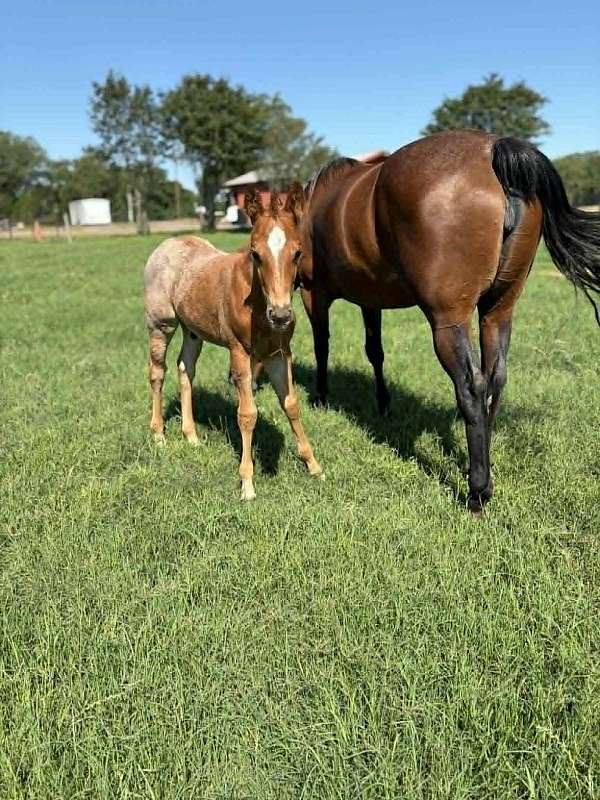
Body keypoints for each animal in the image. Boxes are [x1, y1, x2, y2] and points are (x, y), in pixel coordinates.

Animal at [144, 184, 323, 501]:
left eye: (298, 252)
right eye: (255, 254)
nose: (280, 315)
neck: (258, 304)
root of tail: (166, 244)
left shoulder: (279, 353)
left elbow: (291, 404)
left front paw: (314, 465)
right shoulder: (239, 352)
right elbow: (247, 414)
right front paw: (247, 483)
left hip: (193, 330)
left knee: (185, 368)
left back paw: (191, 436)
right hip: (160, 325)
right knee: (157, 372)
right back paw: (159, 434)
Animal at [298, 130, 600, 511]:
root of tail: (493, 150)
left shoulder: (314, 293)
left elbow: (322, 344)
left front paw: (322, 396)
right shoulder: (370, 299)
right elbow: (374, 351)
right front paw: (382, 403)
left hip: (448, 322)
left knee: (472, 386)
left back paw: (477, 490)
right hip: (498, 311)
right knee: (495, 379)